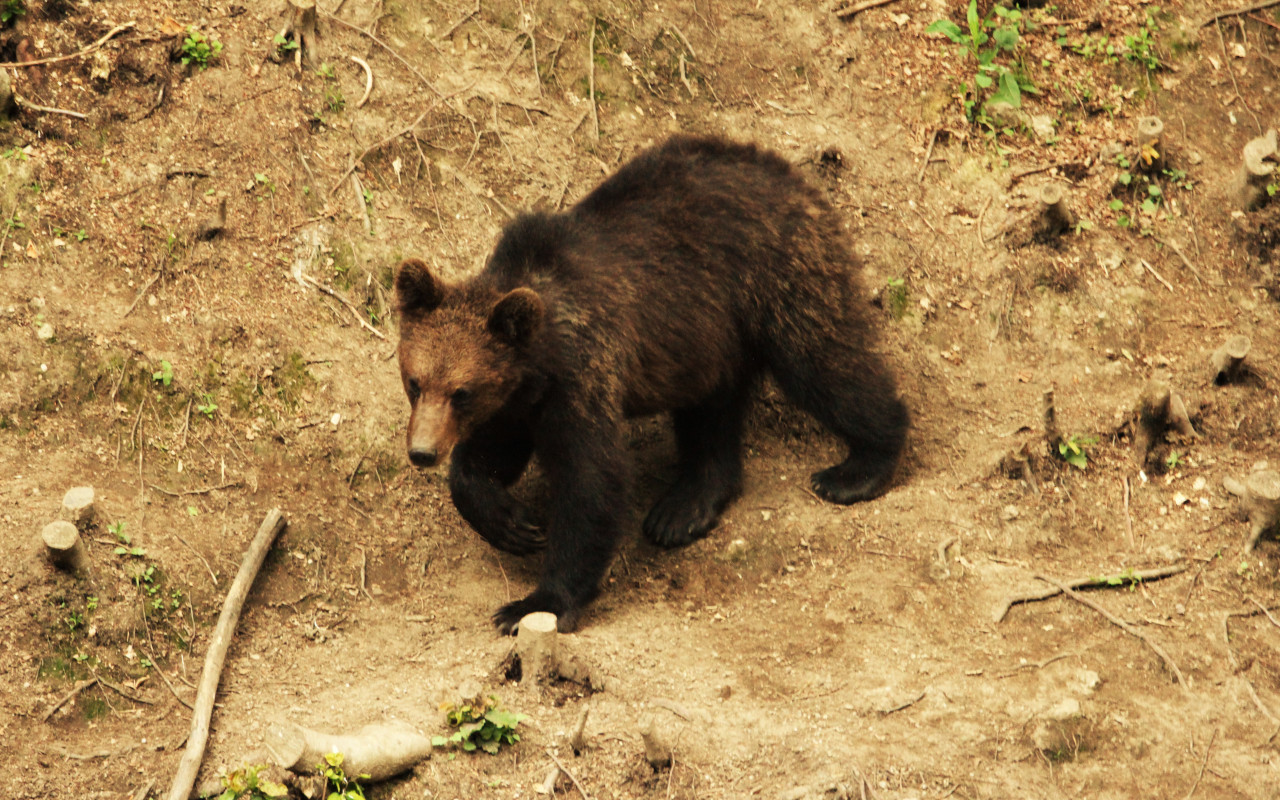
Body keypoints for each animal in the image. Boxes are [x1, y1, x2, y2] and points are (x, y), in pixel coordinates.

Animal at [395, 134, 908, 634]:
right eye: (415, 382)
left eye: (461, 392)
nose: (422, 452)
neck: (539, 359)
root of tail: (790, 173)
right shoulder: (518, 400)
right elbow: (488, 458)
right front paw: (512, 522)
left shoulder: (581, 375)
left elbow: (592, 482)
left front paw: (534, 603)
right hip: (710, 337)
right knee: (711, 413)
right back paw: (682, 509)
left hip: (776, 275)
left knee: (823, 363)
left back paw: (858, 467)